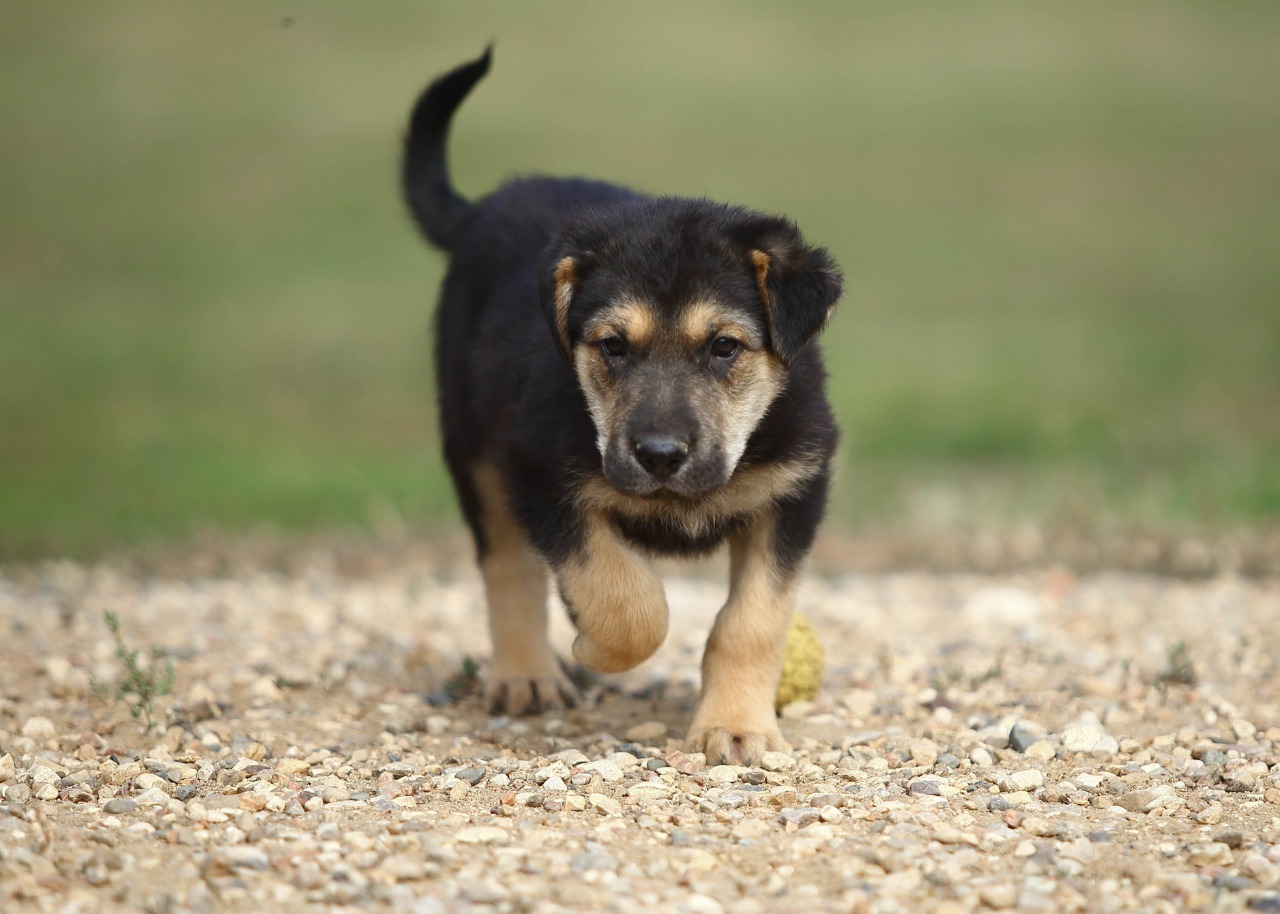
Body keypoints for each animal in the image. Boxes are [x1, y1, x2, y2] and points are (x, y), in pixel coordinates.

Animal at [399, 49, 839, 762]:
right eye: (612, 345)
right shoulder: (538, 474)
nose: (659, 456)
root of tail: (488, 205)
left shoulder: (792, 493)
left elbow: (752, 621)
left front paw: (735, 728)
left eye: (724, 347)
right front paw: (591, 646)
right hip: (471, 449)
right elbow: (625, 600)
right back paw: (527, 675)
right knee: (506, 566)